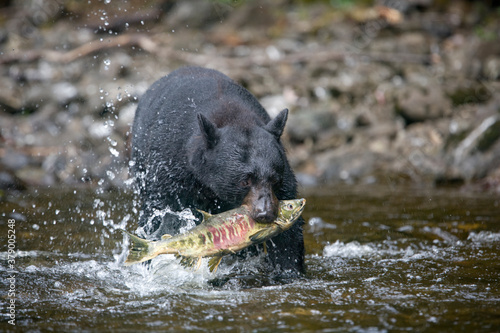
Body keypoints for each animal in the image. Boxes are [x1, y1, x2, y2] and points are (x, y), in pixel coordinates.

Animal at [132, 66, 304, 274]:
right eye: (245, 180)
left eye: (274, 179)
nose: (266, 214)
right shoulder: (171, 171)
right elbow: (160, 216)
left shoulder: (284, 179)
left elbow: (288, 239)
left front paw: (290, 270)